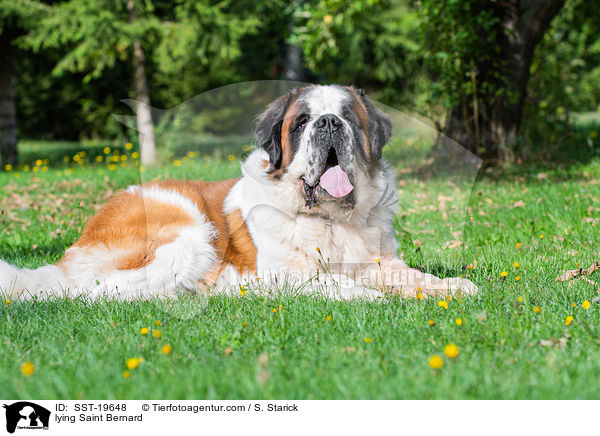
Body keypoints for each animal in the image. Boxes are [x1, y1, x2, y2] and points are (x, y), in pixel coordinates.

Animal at [0, 86, 478, 304]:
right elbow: (340, 283)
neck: (331, 219)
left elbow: (412, 276)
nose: (328, 123)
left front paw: (453, 286)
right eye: (303, 122)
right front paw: (376, 297)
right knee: (108, 289)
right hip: (191, 231)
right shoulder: (284, 273)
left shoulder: (382, 261)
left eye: (347, 118)